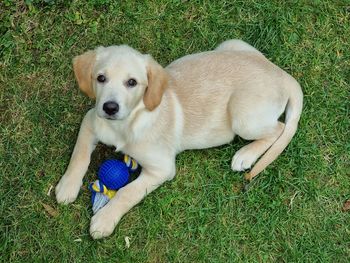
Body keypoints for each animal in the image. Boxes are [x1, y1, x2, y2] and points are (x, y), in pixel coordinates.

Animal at [56, 39, 302, 239]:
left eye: (132, 82)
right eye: (101, 78)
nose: (109, 107)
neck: (127, 123)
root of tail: (283, 76)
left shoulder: (162, 168)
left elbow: (128, 192)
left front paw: (105, 219)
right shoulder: (91, 120)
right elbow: (79, 154)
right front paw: (67, 187)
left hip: (244, 117)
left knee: (278, 129)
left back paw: (246, 155)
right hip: (231, 44)